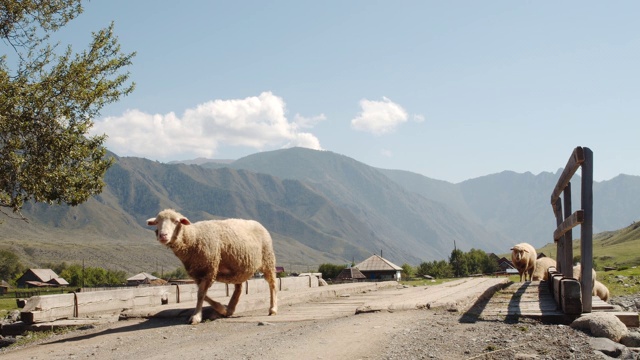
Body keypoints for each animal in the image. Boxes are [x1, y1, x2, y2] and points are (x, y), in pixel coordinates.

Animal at [150, 208, 280, 324]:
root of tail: (258, 224)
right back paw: (230, 309)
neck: (194, 237)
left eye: (176, 221)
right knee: (239, 288)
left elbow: (201, 294)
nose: (163, 235)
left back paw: (273, 308)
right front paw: (221, 308)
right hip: (239, 267)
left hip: (268, 260)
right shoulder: (198, 274)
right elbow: (203, 294)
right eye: (157, 222)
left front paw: (196, 317)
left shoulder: (209, 269)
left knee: (272, 284)